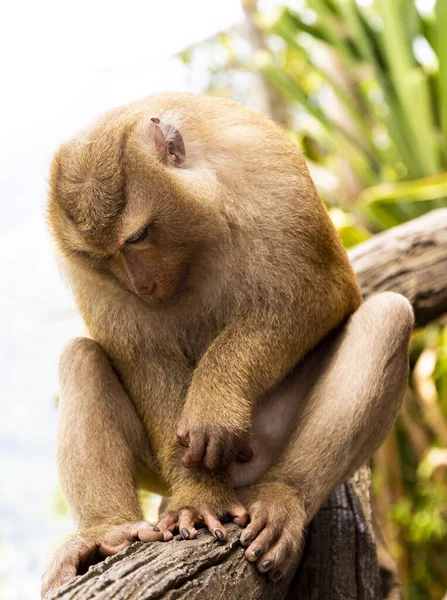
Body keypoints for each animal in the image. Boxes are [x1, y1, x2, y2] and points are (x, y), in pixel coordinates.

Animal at [41, 92, 412, 596]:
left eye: (137, 236)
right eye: (100, 258)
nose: (142, 286)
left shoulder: (267, 167)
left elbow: (321, 291)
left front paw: (214, 406)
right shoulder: (86, 272)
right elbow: (142, 357)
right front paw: (198, 495)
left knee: (389, 316)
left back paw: (283, 497)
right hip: (157, 473)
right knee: (80, 357)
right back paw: (107, 532)